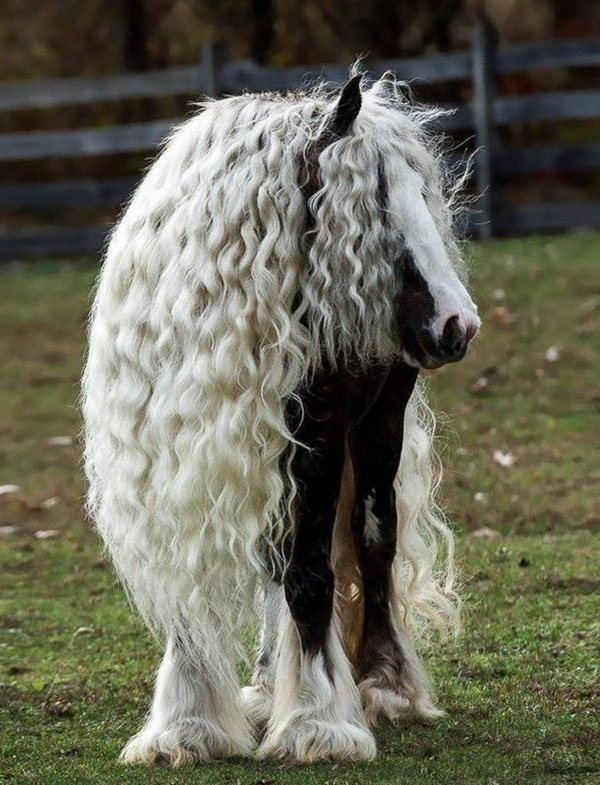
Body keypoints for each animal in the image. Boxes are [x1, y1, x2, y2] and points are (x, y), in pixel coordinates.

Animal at [82, 70, 480, 764]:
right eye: (376, 202)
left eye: (422, 195)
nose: (457, 324)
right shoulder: (180, 459)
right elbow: (204, 576)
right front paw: (187, 724)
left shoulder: (315, 437)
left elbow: (312, 573)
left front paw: (317, 721)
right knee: (279, 554)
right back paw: (271, 686)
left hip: (375, 426)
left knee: (372, 541)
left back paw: (383, 686)